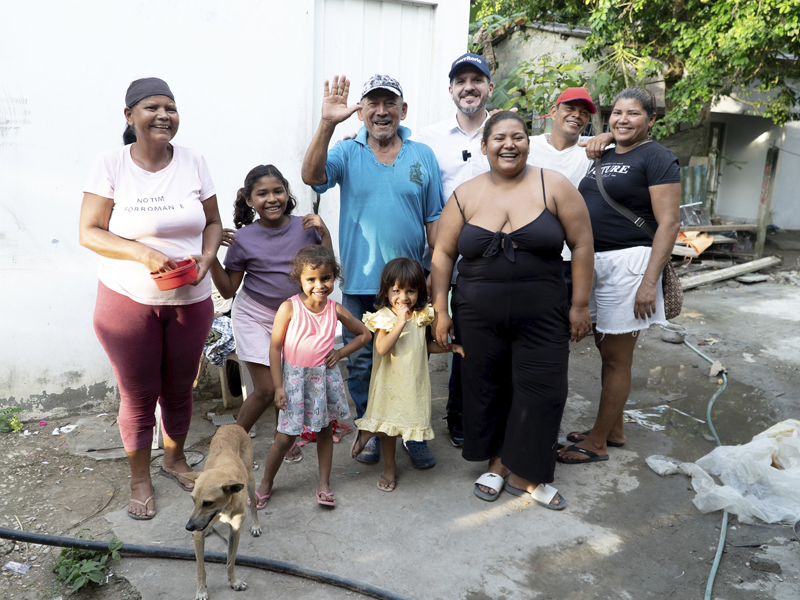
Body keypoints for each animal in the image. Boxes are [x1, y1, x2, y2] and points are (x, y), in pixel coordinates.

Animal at [183, 424, 260, 596]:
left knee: (254, 503)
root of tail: (233, 425)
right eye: (192, 499)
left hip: (250, 479)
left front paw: (234, 582)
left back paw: (256, 525)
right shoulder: (198, 535)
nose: (188, 527)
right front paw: (201, 591)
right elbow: (201, 568)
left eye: (208, 503)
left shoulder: (235, 530)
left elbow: (231, 561)